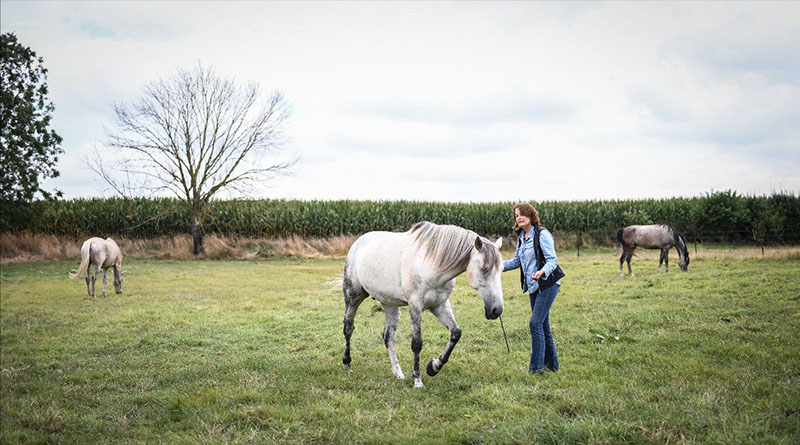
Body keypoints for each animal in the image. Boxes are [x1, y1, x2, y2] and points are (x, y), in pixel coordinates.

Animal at [342, 221, 504, 388]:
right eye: (484, 269)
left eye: (502, 270)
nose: (496, 310)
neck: (432, 263)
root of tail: (358, 242)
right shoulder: (415, 306)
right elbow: (417, 343)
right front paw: (417, 380)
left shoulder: (440, 305)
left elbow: (455, 333)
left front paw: (433, 367)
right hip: (353, 296)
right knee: (348, 328)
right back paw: (348, 364)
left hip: (390, 304)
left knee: (388, 337)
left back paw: (397, 373)